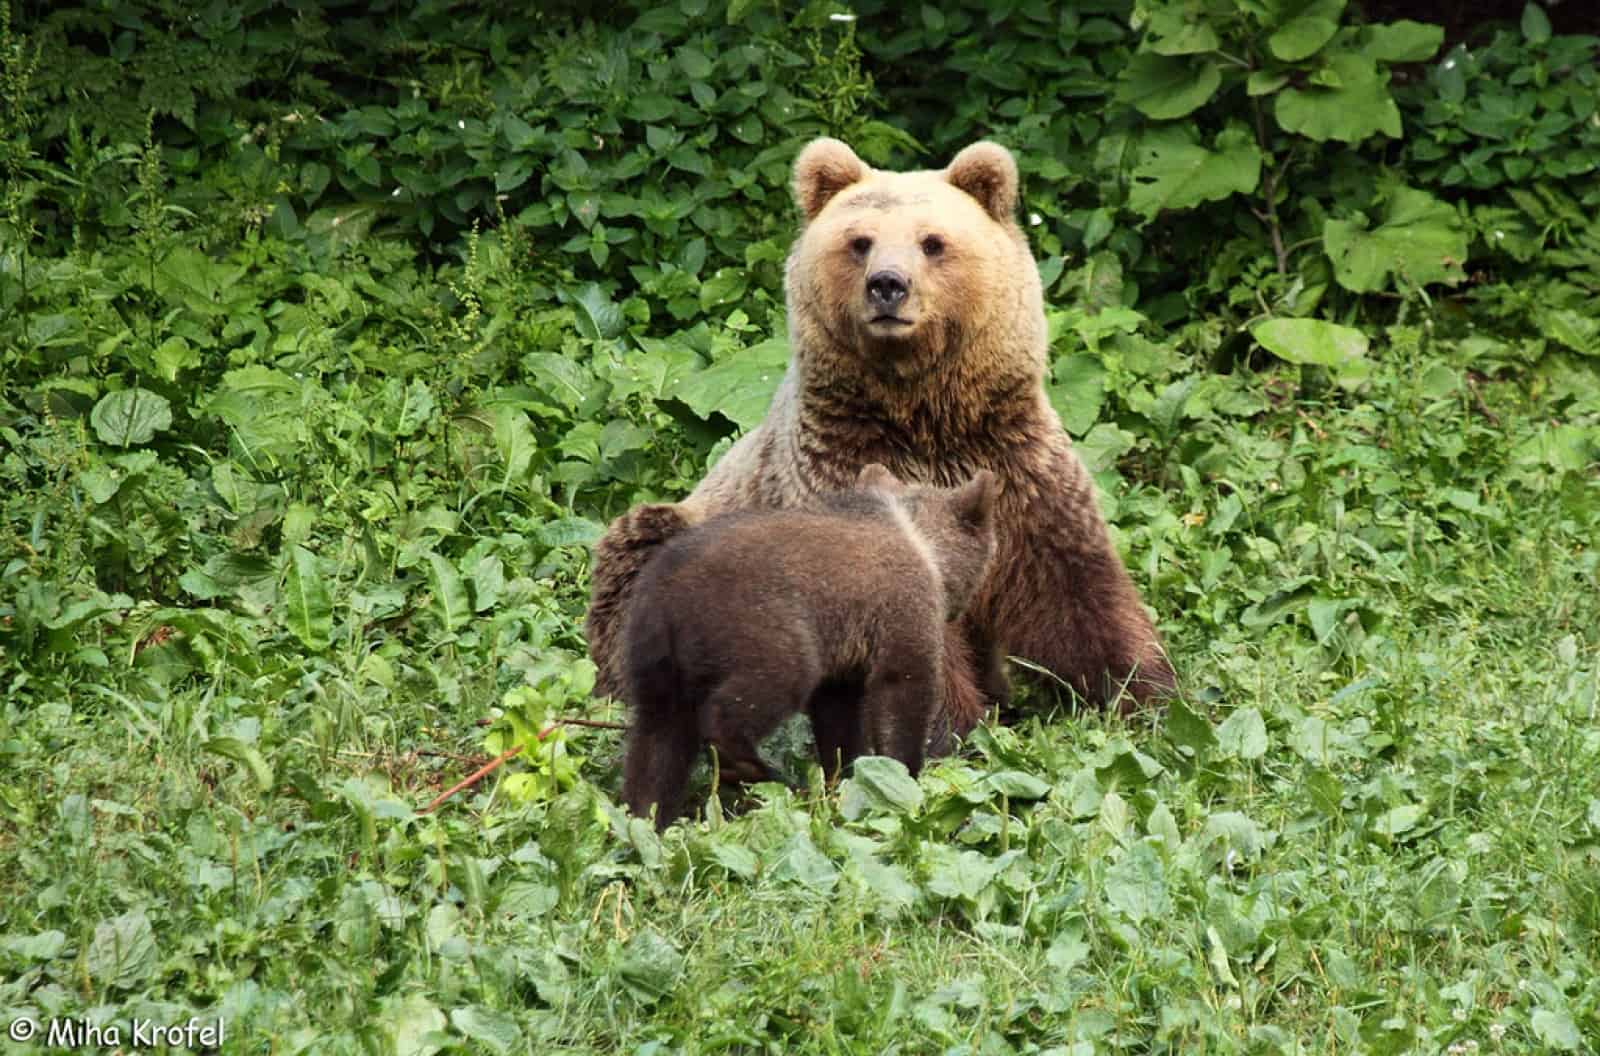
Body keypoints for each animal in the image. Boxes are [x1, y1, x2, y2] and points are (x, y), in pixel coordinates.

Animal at [588, 138, 1177, 752]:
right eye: (860, 241)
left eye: (932, 241)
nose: (888, 284)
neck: (926, 417)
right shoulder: (844, 472)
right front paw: (956, 733)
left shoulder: (1018, 467)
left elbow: (1077, 592)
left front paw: (1147, 697)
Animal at [617, 467, 992, 832]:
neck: (926, 548)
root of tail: (669, 594)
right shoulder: (900, 609)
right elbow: (903, 690)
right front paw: (905, 775)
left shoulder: (845, 653)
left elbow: (839, 716)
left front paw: (845, 773)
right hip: (759, 623)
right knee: (766, 686)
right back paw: (750, 765)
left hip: (654, 654)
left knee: (658, 740)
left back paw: (646, 816)